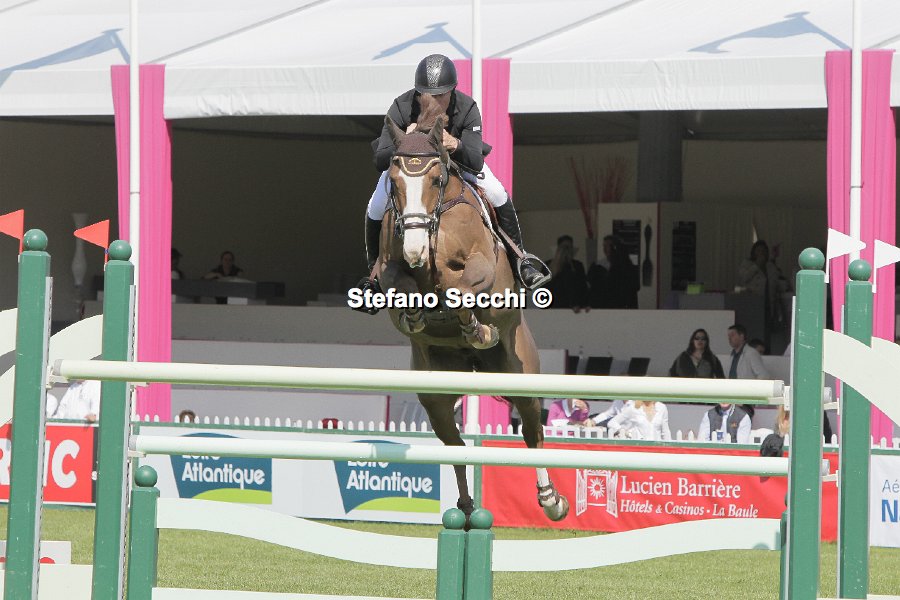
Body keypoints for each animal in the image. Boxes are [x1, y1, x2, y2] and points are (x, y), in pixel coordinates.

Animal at [374, 96, 569, 522]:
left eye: (435, 180)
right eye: (394, 182)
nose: (415, 250)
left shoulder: (484, 265)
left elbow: (460, 288)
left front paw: (477, 328)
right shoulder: (388, 268)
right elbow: (401, 283)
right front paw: (417, 313)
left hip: (518, 373)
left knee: (532, 431)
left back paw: (551, 500)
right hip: (436, 395)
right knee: (456, 445)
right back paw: (465, 508)